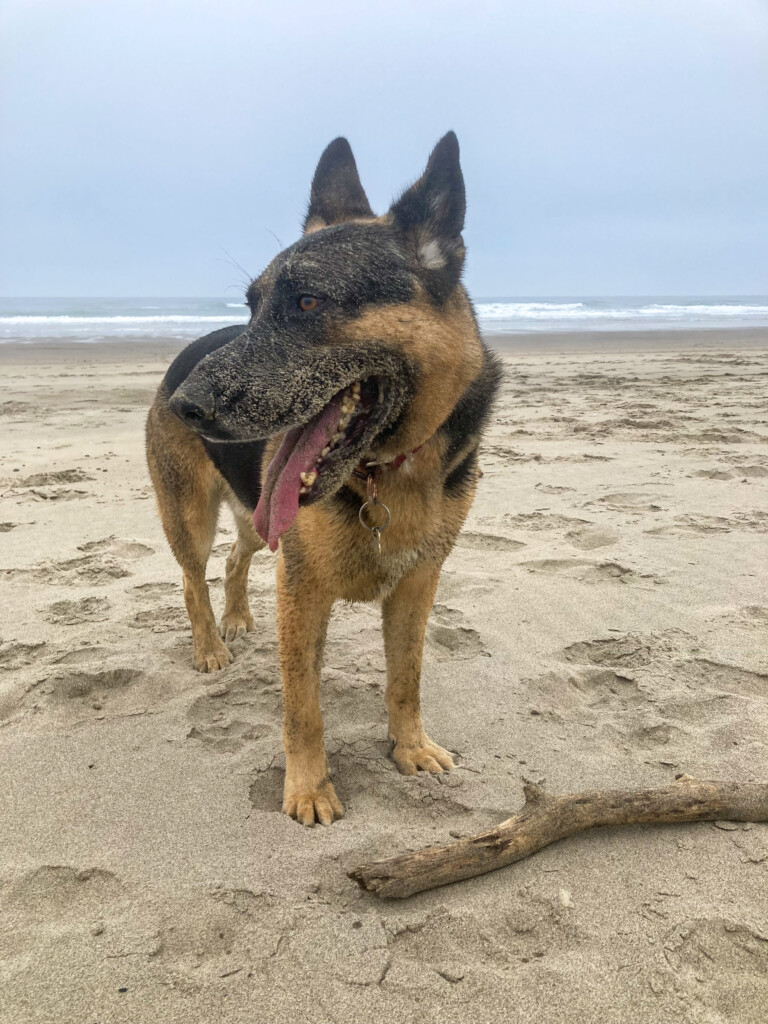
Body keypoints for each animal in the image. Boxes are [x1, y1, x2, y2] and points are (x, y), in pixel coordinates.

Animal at [146, 134, 501, 823]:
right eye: (252, 308)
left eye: (308, 302)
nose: (186, 406)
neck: (388, 471)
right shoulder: (303, 590)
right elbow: (302, 706)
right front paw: (308, 787)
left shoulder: (416, 586)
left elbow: (406, 679)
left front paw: (409, 747)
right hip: (191, 515)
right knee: (193, 579)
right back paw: (210, 646)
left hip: (256, 520)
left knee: (234, 559)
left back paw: (236, 619)